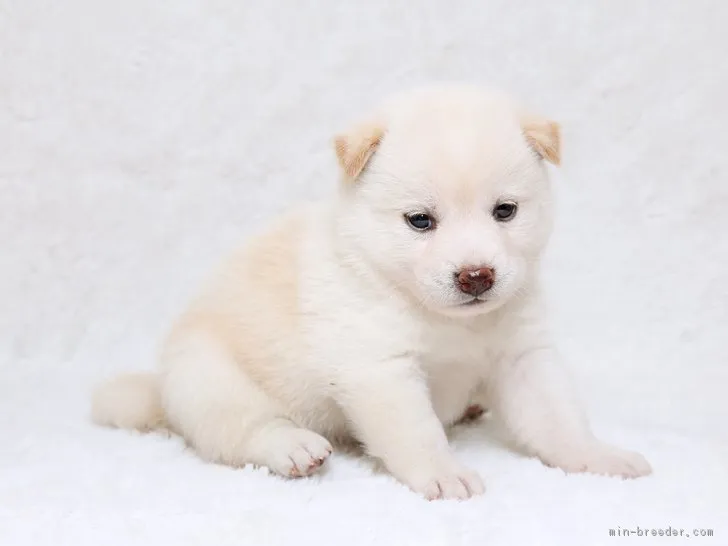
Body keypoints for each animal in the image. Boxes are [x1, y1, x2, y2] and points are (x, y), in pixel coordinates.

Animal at [94, 84, 652, 498]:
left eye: (505, 211)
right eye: (420, 220)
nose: (476, 276)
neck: (450, 323)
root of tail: (161, 390)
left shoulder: (523, 356)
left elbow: (559, 420)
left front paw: (597, 456)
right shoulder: (381, 370)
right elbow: (418, 432)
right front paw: (444, 474)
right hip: (210, 380)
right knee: (245, 430)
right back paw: (294, 447)